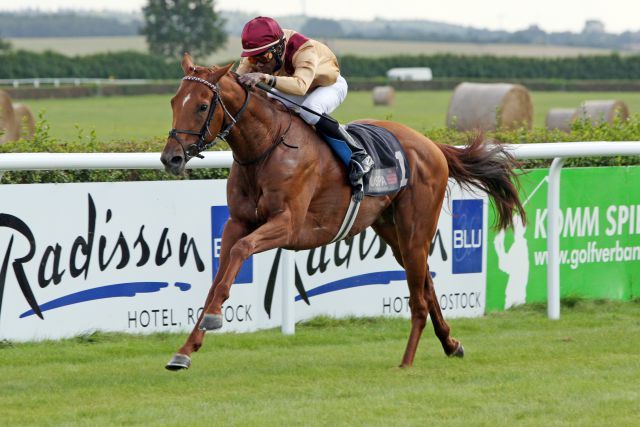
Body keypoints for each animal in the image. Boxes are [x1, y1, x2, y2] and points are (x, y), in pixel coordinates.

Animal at [160, 54, 524, 372]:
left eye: (202, 106)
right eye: (174, 102)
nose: (170, 158)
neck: (266, 146)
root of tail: (432, 145)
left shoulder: (287, 225)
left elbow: (240, 251)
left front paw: (213, 317)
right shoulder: (238, 222)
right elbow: (219, 277)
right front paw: (185, 350)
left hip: (416, 226)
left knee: (419, 294)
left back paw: (407, 360)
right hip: (391, 229)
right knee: (425, 281)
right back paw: (450, 343)